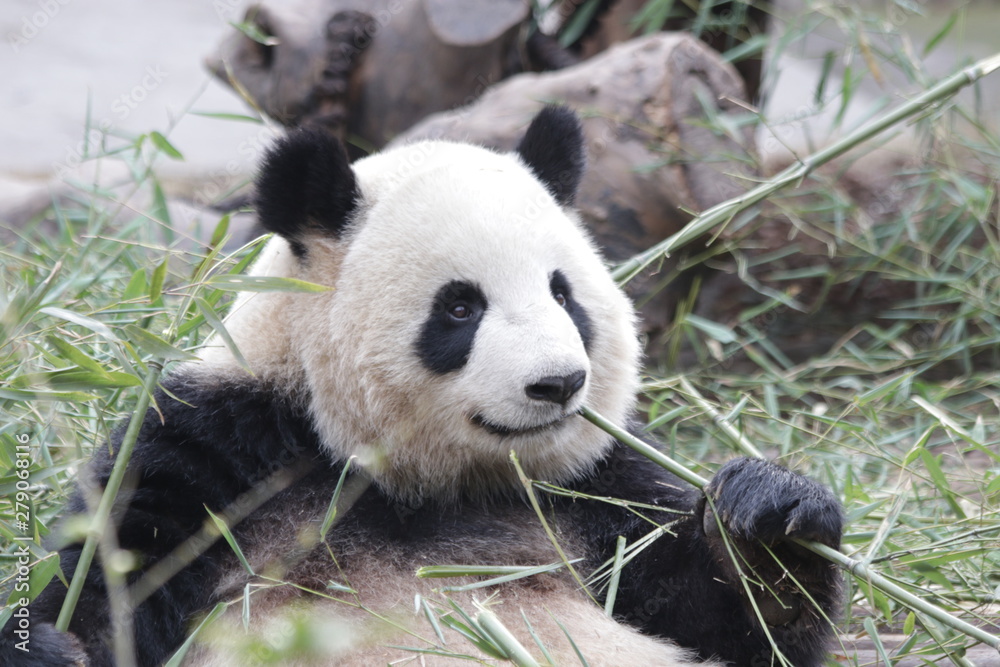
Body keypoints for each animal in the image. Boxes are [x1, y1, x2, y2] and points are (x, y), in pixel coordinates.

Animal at [1, 109, 844, 667]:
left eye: (563, 294)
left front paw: (771, 513)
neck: (425, 483)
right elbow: (109, 586)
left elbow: (734, 624)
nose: (559, 382)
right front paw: (45, 645)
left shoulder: (593, 489)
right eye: (460, 306)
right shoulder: (224, 452)